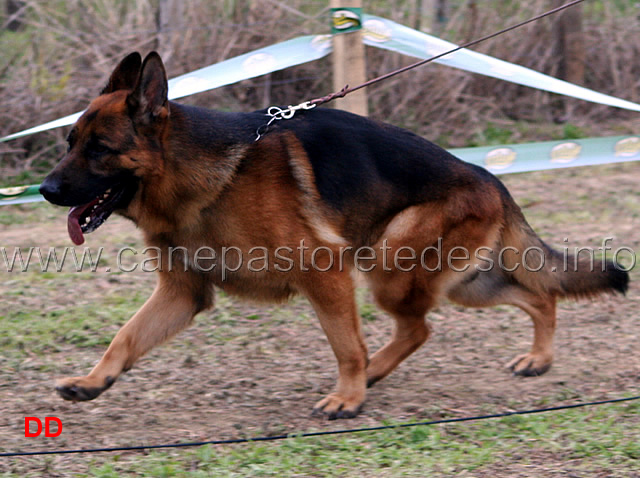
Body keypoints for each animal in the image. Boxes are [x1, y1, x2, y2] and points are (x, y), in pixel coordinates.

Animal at [41, 51, 632, 418]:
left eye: (99, 149)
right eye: (70, 142)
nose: (45, 189)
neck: (202, 177)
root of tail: (491, 177)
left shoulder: (323, 273)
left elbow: (346, 345)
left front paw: (347, 396)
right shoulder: (181, 293)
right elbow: (126, 337)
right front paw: (94, 381)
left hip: (392, 268)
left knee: (421, 328)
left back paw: (372, 376)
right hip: (459, 281)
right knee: (537, 296)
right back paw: (535, 358)